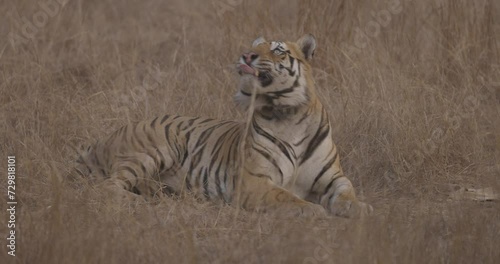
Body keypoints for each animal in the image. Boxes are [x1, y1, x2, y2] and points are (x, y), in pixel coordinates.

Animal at [77, 34, 372, 218]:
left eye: (277, 49)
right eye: (256, 46)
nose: (247, 55)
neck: (288, 114)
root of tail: (102, 139)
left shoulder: (334, 177)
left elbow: (347, 193)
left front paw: (361, 208)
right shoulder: (254, 180)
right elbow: (284, 196)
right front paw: (310, 209)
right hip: (157, 149)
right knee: (107, 187)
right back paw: (142, 201)